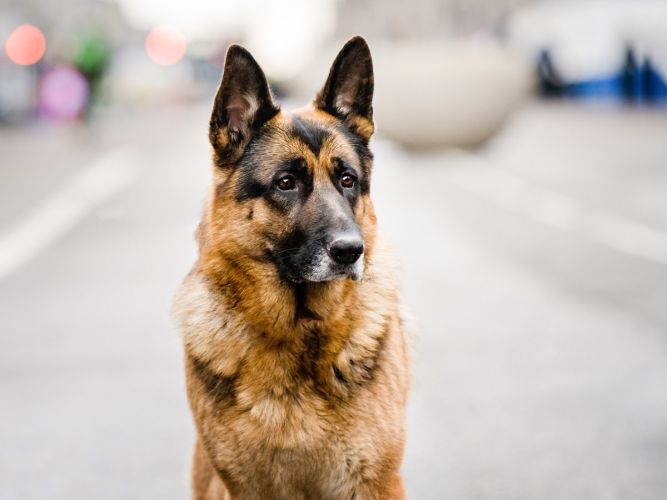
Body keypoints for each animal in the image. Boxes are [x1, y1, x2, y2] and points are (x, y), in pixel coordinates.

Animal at [172, 36, 410, 500]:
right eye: (286, 183)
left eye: (348, 180)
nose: (351, 251)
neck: (297, 329)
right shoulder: (245, 488)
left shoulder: (377, 483)